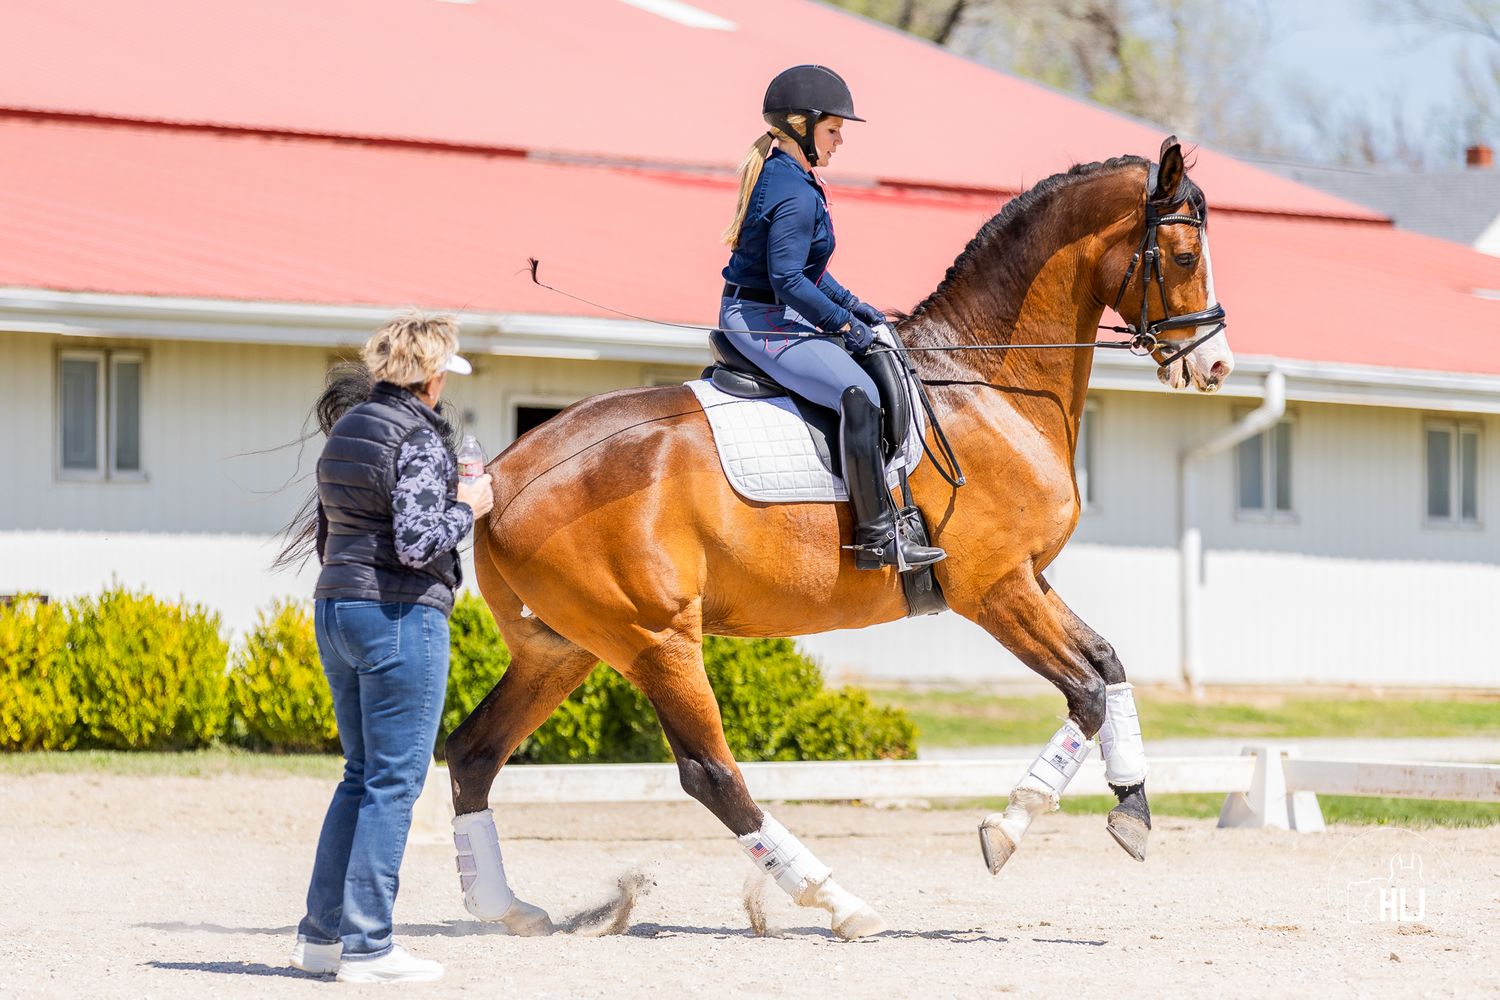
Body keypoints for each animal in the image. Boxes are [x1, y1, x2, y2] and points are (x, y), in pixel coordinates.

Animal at [442, 136, 1233, 939]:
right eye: (1183, 253)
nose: (1215, 364)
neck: (985, 381)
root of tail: (505, 472)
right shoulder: (993, 588)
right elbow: (1086, 691)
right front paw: (1007, 829)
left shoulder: (1028, 577)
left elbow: (1108, 664)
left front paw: (1132, 809)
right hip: (656, 639)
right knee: (709, 772)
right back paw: (838, 901)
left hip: (564, 648)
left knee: (474, 752)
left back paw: (504, 909)